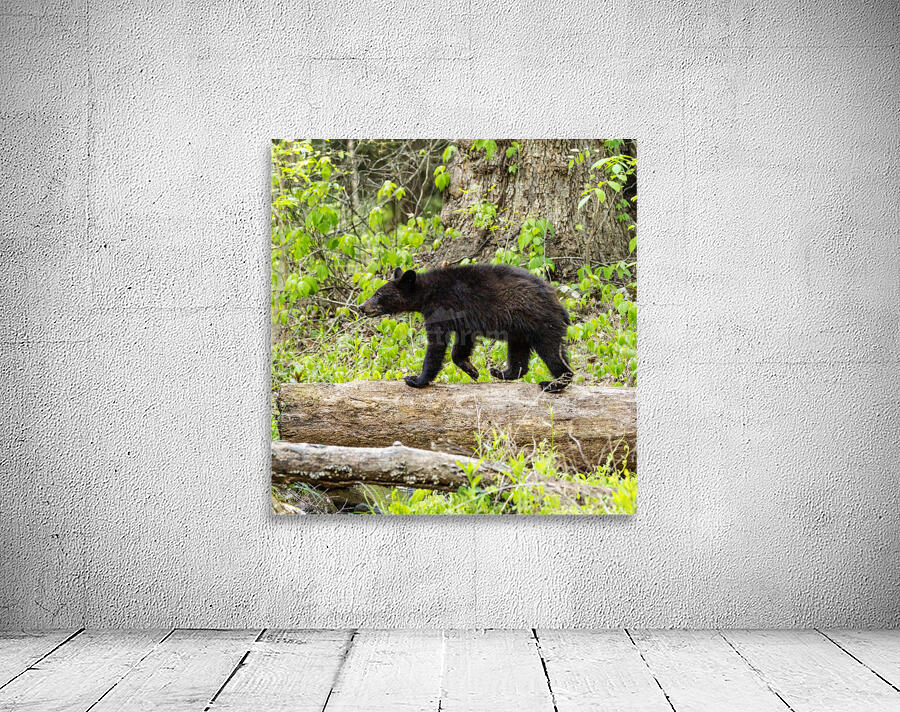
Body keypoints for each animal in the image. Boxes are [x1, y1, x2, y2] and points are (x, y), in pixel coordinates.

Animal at [360, 264, 574, 392]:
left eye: (378, 294)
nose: (362, 306)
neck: (428, 292)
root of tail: (559, 305)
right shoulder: (464, 319)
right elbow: (461, 343)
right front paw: (471, 369)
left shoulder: (440, 308)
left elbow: (436, 345)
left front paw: (416, 379)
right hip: (520, 329)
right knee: (519, 354)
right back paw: (502, 372)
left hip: (541, 322)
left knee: (552, 353)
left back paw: (554, 383)